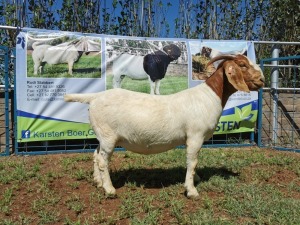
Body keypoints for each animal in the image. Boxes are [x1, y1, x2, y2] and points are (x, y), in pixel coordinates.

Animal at [64, 54, 264, 199]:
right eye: (242, 65)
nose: (262, 80)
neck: (210, 95)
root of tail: (95, 97)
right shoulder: (195, 136)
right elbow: (192, 162)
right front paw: (192, 190)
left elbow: (193, 163)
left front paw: (196, 179)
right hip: (108, 135)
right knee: (102, 160)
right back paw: (109, 189)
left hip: (102, 134)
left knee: (95, 154)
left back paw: (98, 182)